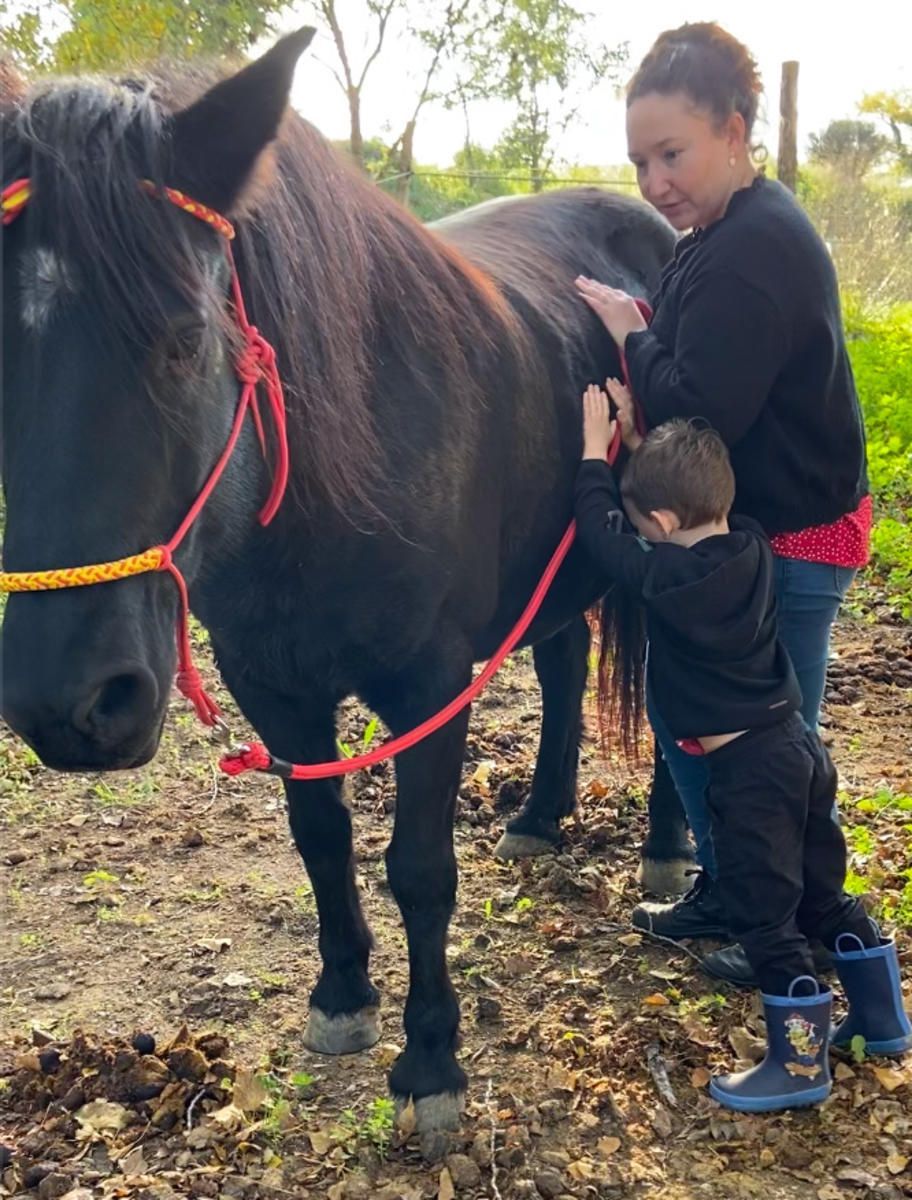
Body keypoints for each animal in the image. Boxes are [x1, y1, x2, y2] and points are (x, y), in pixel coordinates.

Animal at [0, 31, 691, 1131]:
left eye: (183, 340)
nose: (68, 707)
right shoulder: (269, 681)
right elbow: (320, 836)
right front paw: (343, 996)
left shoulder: (429, 686)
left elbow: (419, 869)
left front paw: (432, 1061)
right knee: (564, 667)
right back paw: (539, 818)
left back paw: (667, 847)